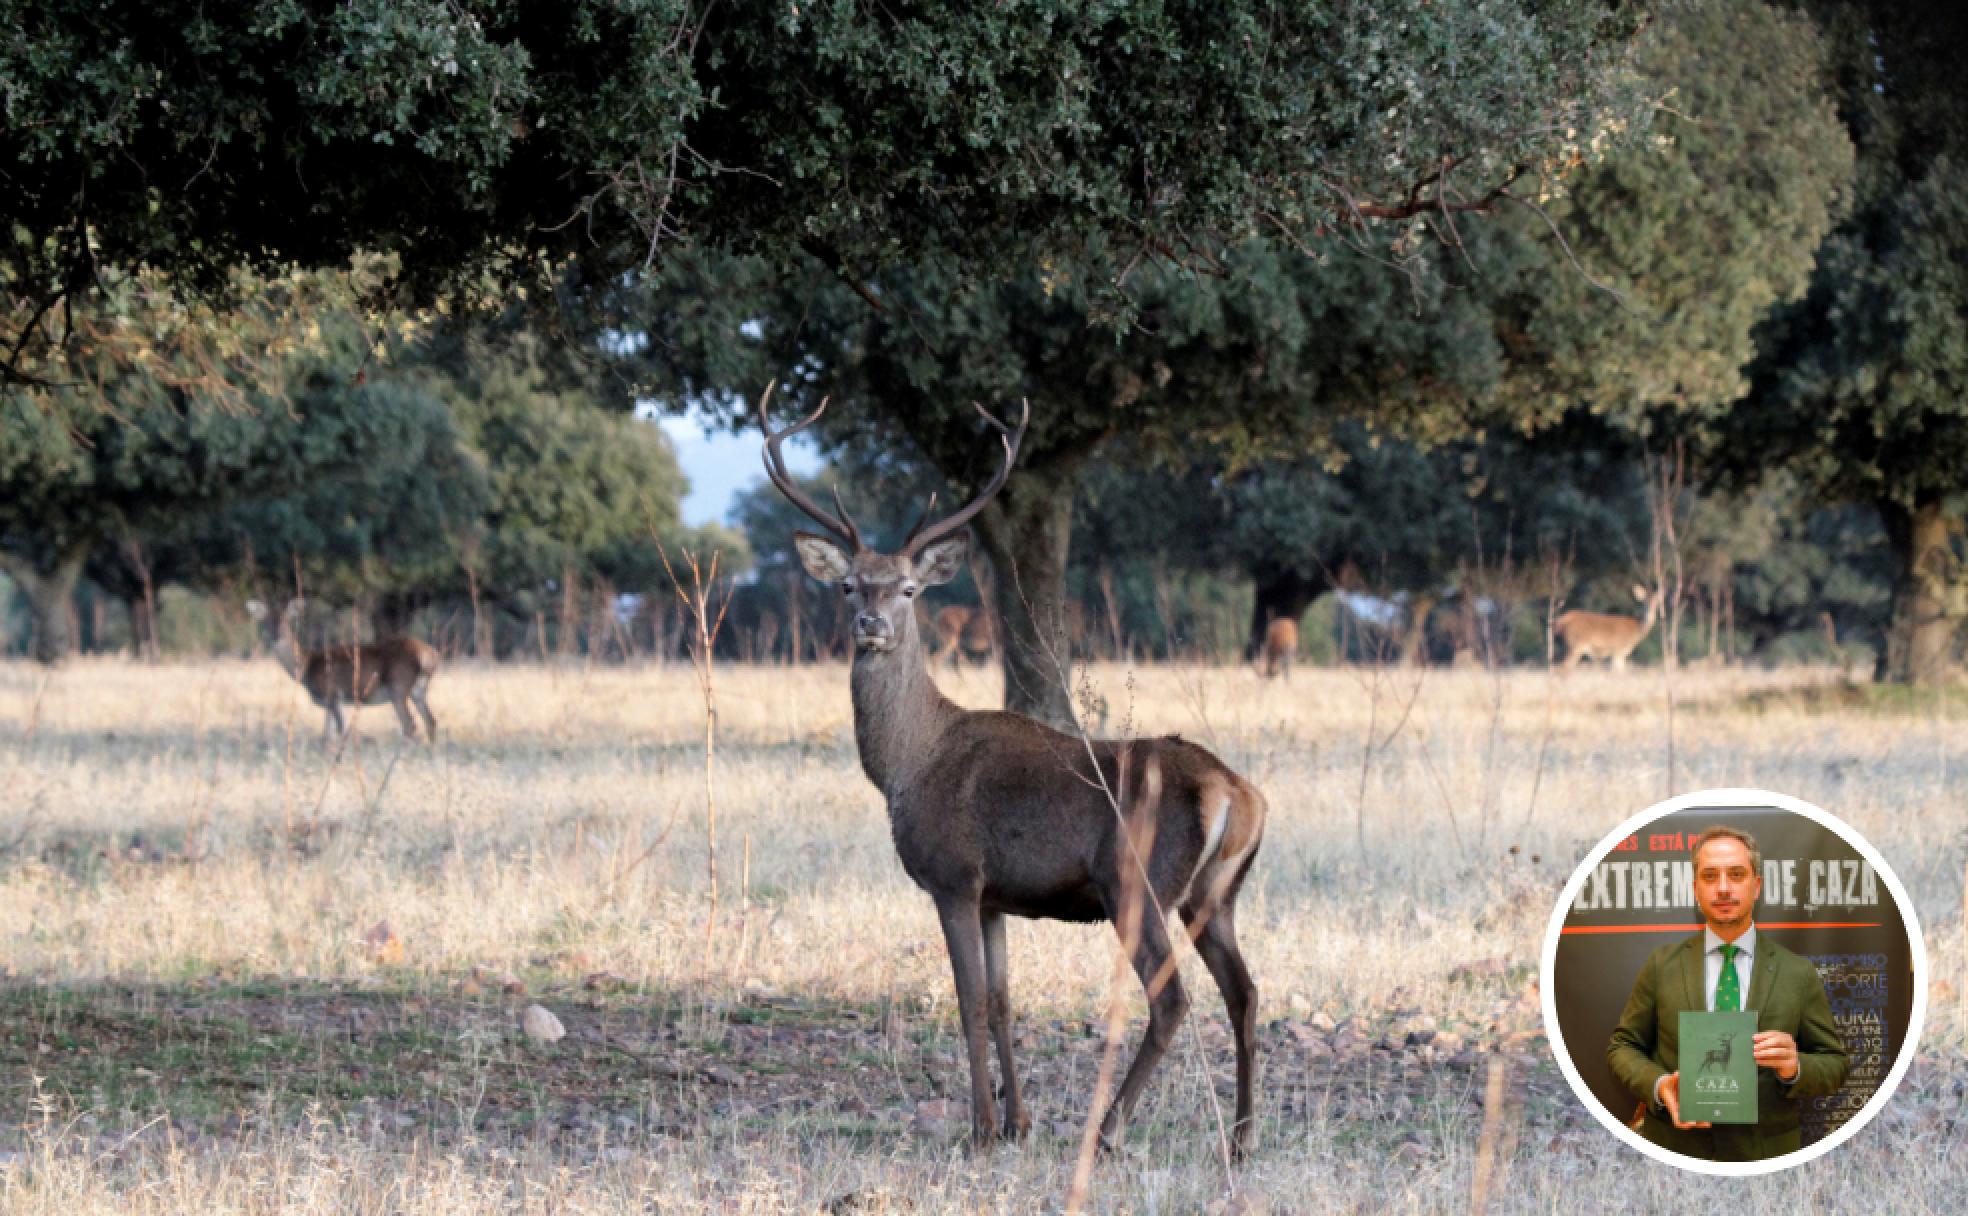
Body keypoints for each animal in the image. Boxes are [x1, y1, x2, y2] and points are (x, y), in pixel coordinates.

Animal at [246, 598, 440, 743]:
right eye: (266, 621)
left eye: (287, 620)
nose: (277, 635)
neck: (307, 666)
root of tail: (430, 654)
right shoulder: (328, 702)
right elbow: (326, 735)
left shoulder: (333, 694)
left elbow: (342, 730)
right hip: (418, 690)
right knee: (431, 721)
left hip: (398, 686)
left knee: (410, 724)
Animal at [761, 390, 1267, 1156]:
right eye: (848, 584)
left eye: (908, 588)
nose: (870, 622)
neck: (910, 765)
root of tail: (1237, 795)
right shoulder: (998, 894)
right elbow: (1002, 1002)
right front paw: (1015, 1124)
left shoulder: (953, 874)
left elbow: (968, 1001)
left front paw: (978, 1129)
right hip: (1216, 893)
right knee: (1245, 991)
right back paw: (1239, 1139)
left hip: (1137, 880)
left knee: (1172, 997)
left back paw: (1106, 1132)